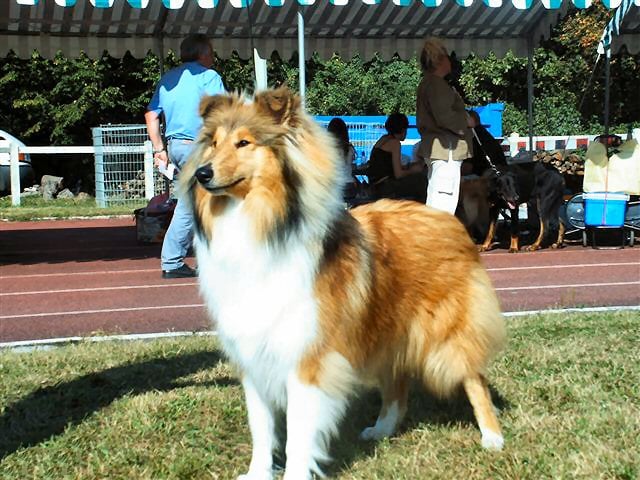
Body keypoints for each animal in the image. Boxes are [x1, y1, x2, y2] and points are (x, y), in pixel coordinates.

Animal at [179, 88, 504, 478]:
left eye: (244, 142)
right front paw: (258, 473)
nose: (202, 174)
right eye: (212, 143)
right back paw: (381, 428)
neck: (261, 226)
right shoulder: (254, 356)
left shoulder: (307, 359)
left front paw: (294, 473)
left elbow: (298, 434)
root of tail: (448, 220)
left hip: (448, 334)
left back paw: (492, 437)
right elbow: (261, 428)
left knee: (473, 377)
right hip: (388, 332)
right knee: (398, 385)